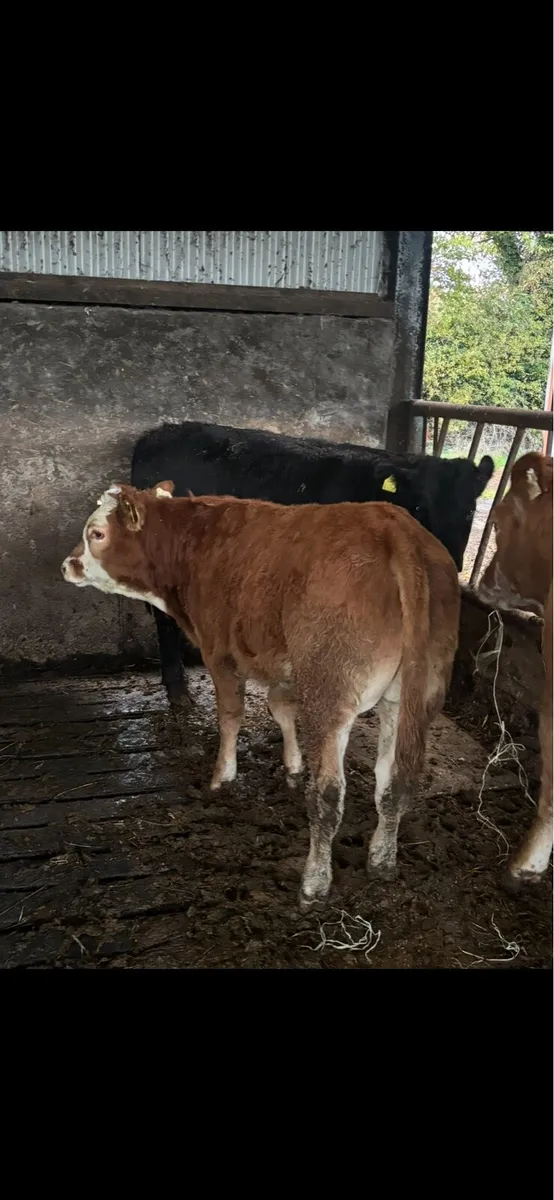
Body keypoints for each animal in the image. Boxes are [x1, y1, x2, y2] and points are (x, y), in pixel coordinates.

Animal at [61, 482, 460, 911]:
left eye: (96, 533)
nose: (67, 565)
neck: (195, 544)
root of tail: (393, 525)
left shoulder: (219, 652)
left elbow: (230, 715)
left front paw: (222, 776)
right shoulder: (282, 666)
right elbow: (280, 709)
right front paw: (292, 767)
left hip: (331, 690)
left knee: (328, 795)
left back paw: (314, 883)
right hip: (411, 698)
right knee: (393, 781)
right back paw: (382, 861)